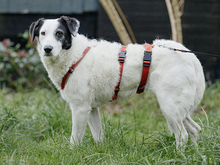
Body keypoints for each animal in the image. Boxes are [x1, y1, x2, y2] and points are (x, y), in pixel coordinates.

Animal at [29, 16, 205, 148]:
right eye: (43, 33)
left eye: (59, 33)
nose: (47, 49)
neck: (74, 55)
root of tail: (191, 57)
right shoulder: (91, 109)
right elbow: (98, 136)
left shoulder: (80, 108)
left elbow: (75, 139)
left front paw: (73, 153)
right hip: (177, 108)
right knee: (195, 129)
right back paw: (194, 154)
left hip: (169, 106)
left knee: (183, 135)